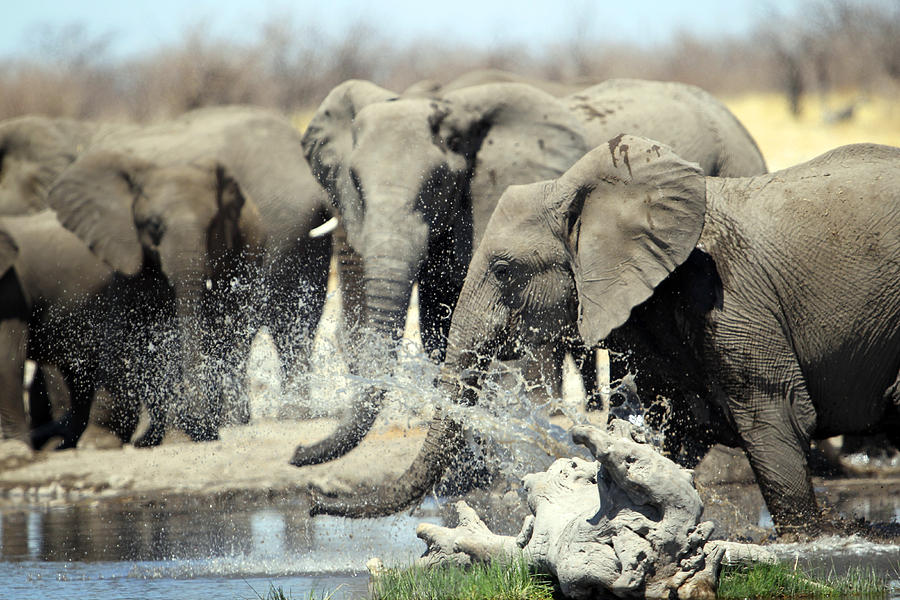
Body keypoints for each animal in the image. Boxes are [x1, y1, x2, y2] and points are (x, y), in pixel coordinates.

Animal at [307, 137, 900, 537]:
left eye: (503, 269)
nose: (313, 499)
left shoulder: (729, 295)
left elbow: (774, 420)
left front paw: (808, 541)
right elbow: (668, 430)